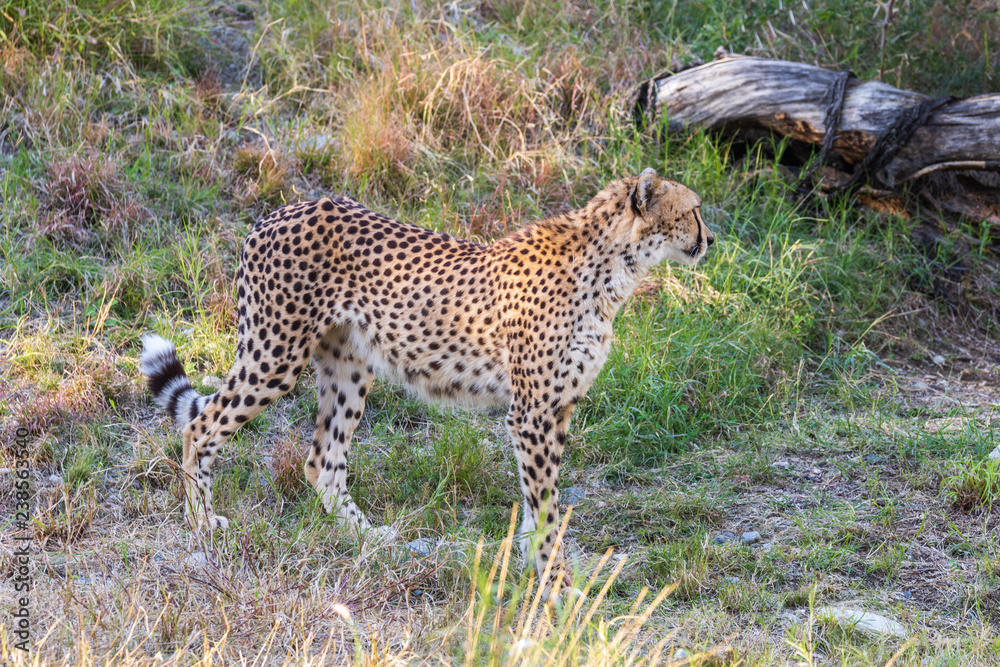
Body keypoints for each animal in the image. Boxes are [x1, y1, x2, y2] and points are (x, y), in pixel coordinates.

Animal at [139, 167, 713, 595]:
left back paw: (367, 537)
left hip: (349, 365)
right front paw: (557, 584)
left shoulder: (557, 407)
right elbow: (547, 505)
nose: (710, 239)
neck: (613, 268)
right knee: (201, 426)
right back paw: (202, 521)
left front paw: (534, 565)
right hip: (275, 354)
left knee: (322, 458)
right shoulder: (532, 412)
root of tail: (276, 212)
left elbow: (538, 503)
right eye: (692, 210)